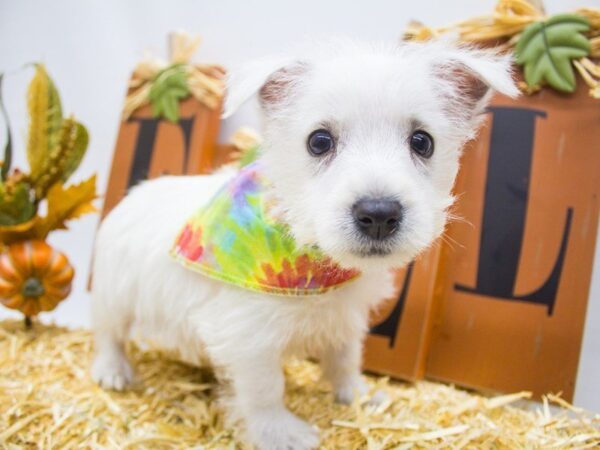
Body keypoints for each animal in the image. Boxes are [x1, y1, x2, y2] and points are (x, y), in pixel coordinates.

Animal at [91, 40, 516, 448]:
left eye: (422, 142)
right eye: (320, 141)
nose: (379, 214)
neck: (309, 259)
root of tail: (132, 195)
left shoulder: (346, 317)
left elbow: (345, 359)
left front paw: (358, 396)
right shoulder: (249, 337)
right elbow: (265, 388)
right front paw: (279, 433)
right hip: (115, 293)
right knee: (109, 332)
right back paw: (113, 371)